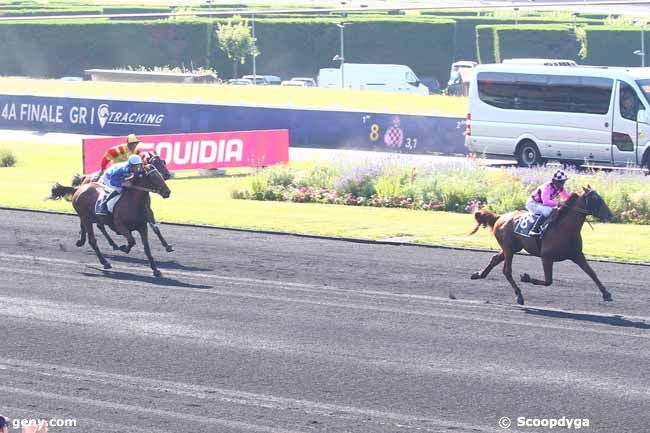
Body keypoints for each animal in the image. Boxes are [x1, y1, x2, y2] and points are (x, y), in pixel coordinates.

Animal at [466, 187, 612, 306]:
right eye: (594, 198)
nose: (610, 215)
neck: (565, 228)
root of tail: (500, 217)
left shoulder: (577, 255)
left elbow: (592, 273)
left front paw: (606, 294)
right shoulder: (546, 256)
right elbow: (548, 281)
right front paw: (525, 277)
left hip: (513, 248)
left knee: (495, 259)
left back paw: (479, 274)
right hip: (508, 248)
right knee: (507, 271)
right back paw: (519, 296)